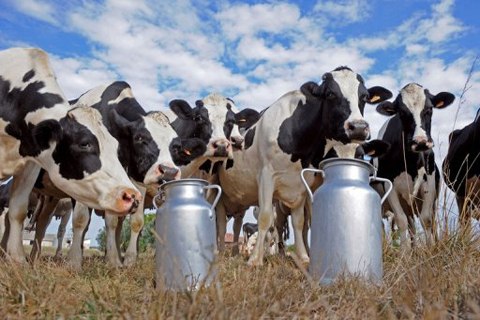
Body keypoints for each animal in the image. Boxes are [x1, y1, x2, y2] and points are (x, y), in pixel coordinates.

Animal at [0, 48, 142, 262]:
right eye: (84, 143)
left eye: (116, 146)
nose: (132, 196)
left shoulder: (31, 165)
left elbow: (18, 210)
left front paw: (17, 259)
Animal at [219, 67, 392, 264]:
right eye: (330, 93)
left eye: (364, 96)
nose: (358, 127)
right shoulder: (266, 177)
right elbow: (265, 217)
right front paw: (255, 260)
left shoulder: (301, 185)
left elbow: (300, 222)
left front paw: (303, 256)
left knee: (237, 224)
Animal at [376, 83, 454, 248]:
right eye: (401, 112)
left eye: (429, 109)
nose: (420, 142)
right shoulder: (390, 186)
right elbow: (401, 221)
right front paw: (404, 252)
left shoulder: (429, 183)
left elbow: (426, 220)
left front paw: (430, 250)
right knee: (410, 225)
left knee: (431, 222)